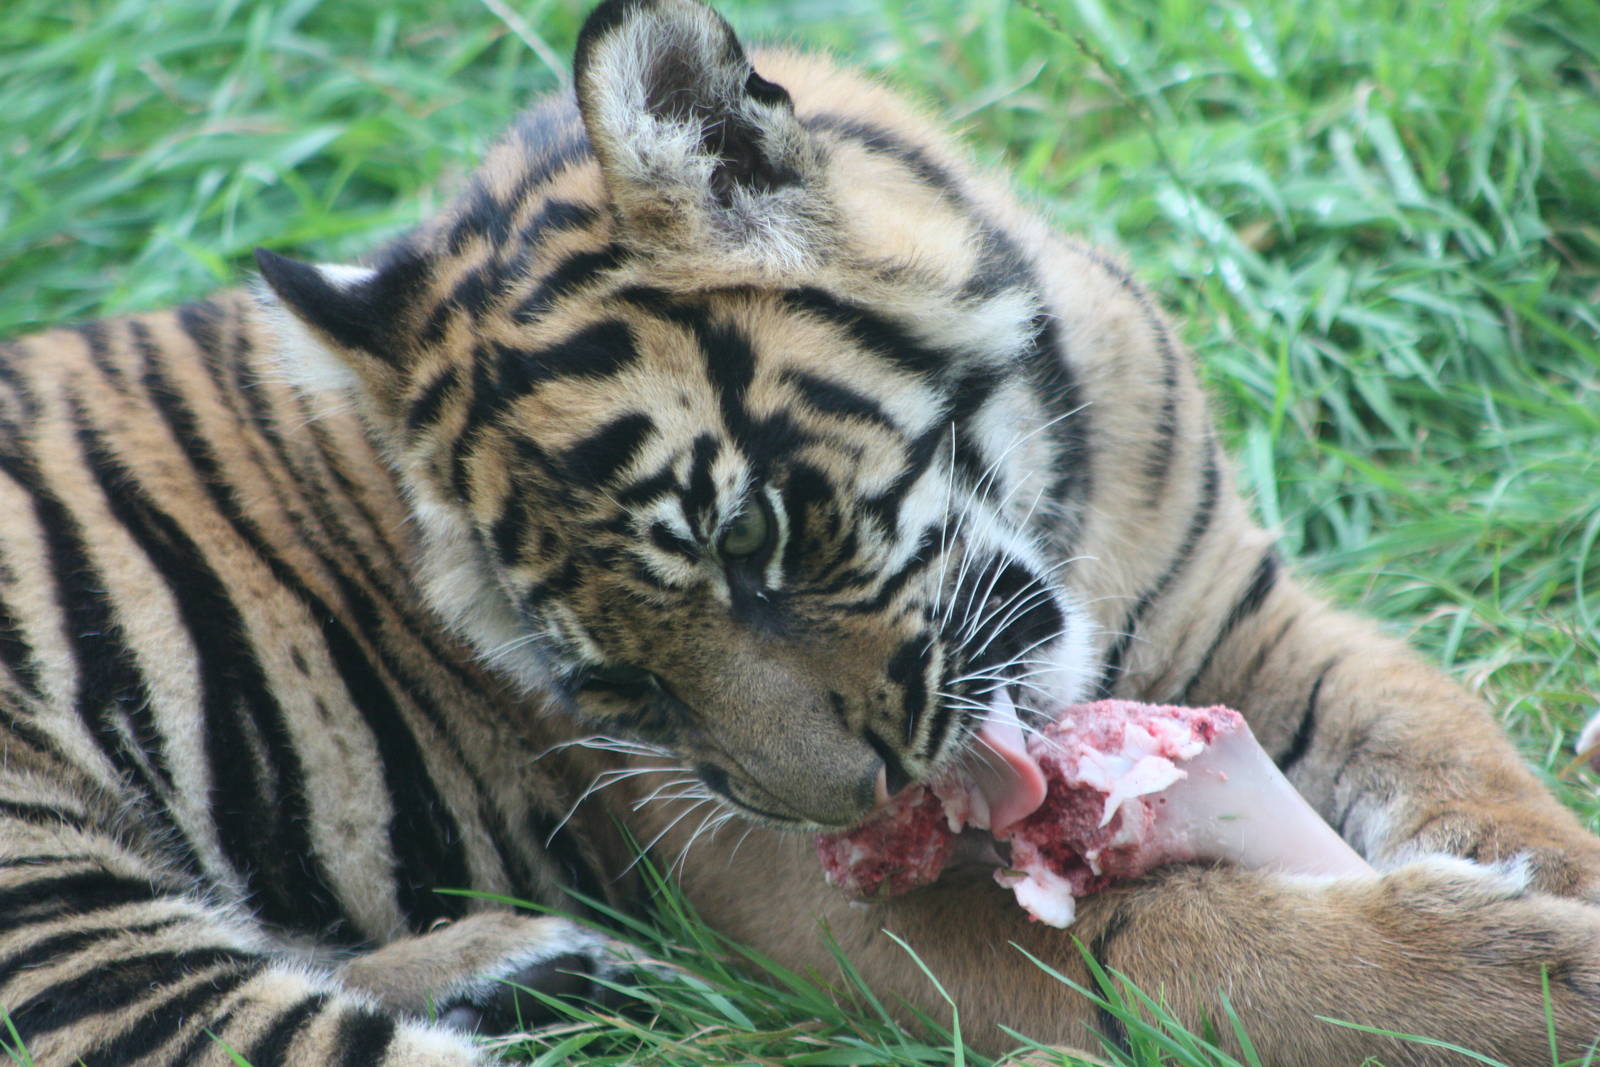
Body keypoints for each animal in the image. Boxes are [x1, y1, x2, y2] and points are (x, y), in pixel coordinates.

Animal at [4, 0, 1600, 1064]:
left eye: (752, 534)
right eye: (613, 681)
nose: (849, 806)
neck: (1058, 496)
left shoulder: (1244, 605)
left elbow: (1460, 752)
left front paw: (1554, 883)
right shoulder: (789, 887)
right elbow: (1190, 941)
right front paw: (1535, 983)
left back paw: (531, 969)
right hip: (58, 884)